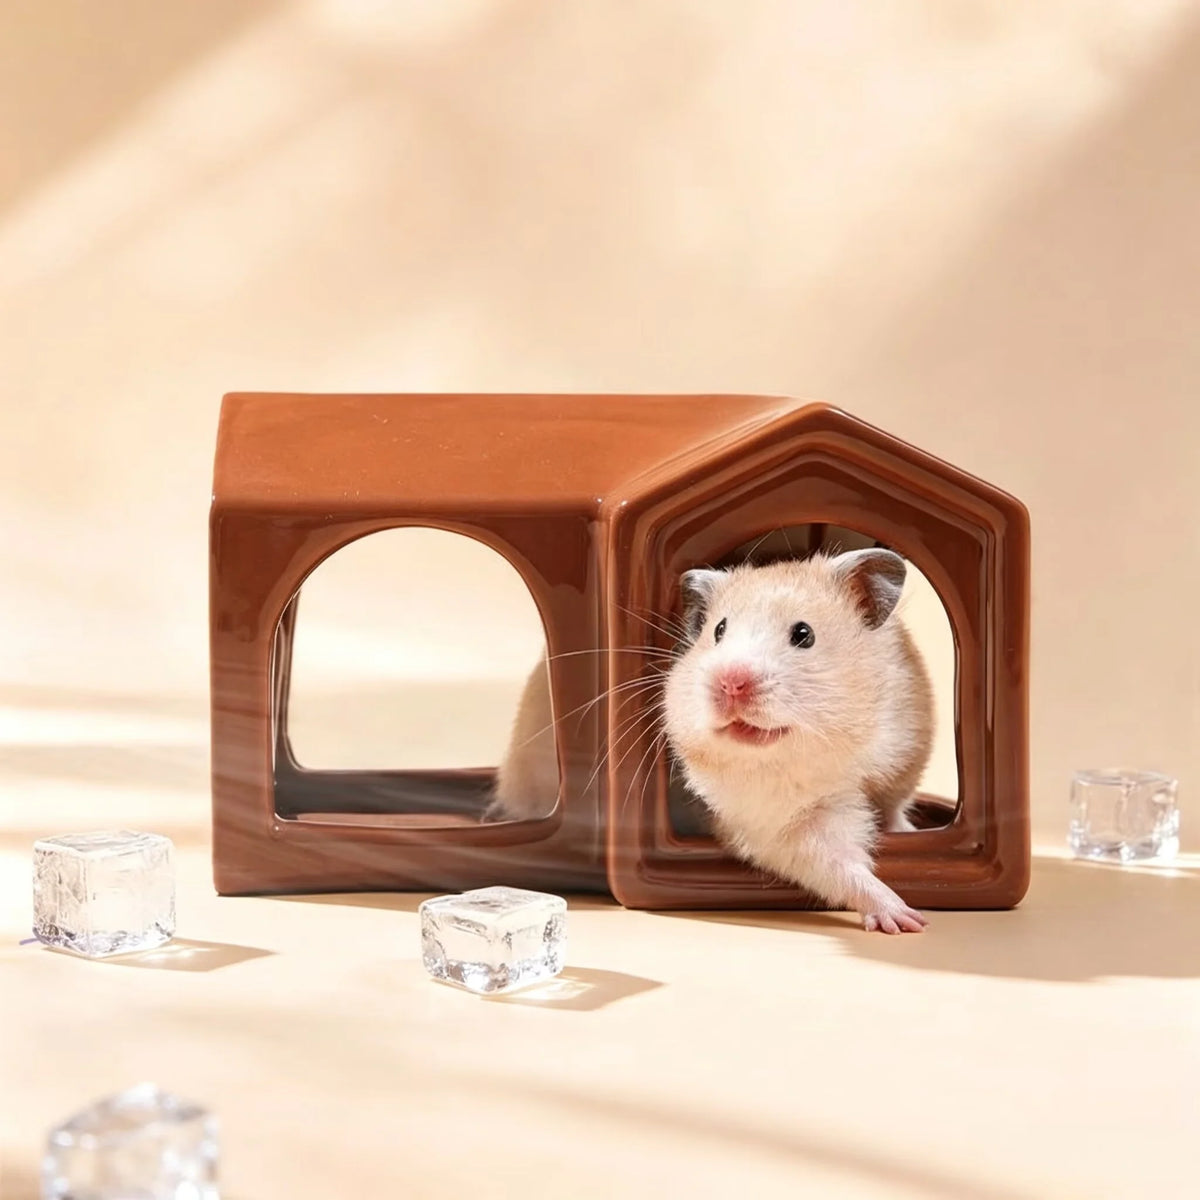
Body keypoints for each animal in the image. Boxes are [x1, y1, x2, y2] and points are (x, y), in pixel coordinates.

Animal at [664, 549, 934, 933]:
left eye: (804, 634)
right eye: (718, 630)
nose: (730, 682)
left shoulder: (907, 749)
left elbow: (896, 804)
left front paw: (906, 836)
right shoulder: (784, 827)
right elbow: (840, 865)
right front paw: (907, 920)